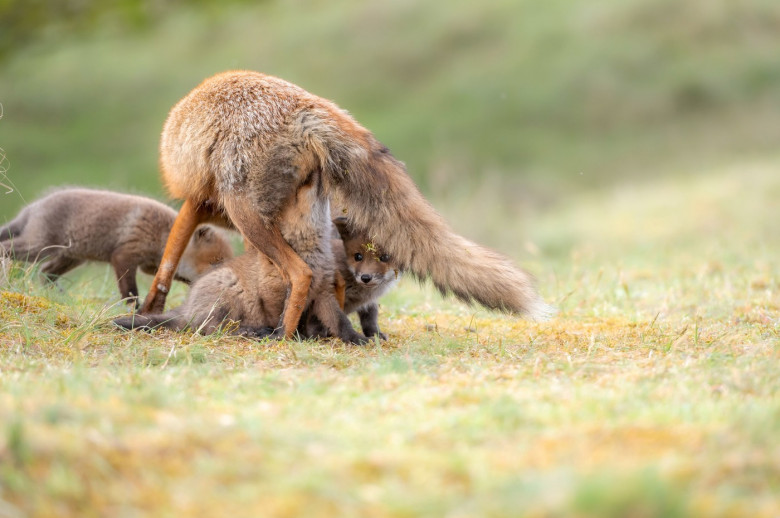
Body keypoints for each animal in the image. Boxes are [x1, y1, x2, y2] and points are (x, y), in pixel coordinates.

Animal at [0, 189, 232, 304]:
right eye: (216, 262)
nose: (227, 283)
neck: (160, 234)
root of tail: (33, 207)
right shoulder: (123, 256)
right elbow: (130, 292)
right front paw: (133, 310)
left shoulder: (149, 266)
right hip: (37, 247)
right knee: (7, 248)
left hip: (71, 256)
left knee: (45, 272)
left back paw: (59, 296)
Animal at [142, 72, 556, 342]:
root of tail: (310, 105)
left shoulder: (198, 204)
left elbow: (166, 267)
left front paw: (147, 310)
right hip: (283, 213)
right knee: (308, 274)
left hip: (246, 214)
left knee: (301, 273)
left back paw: (283, 334)